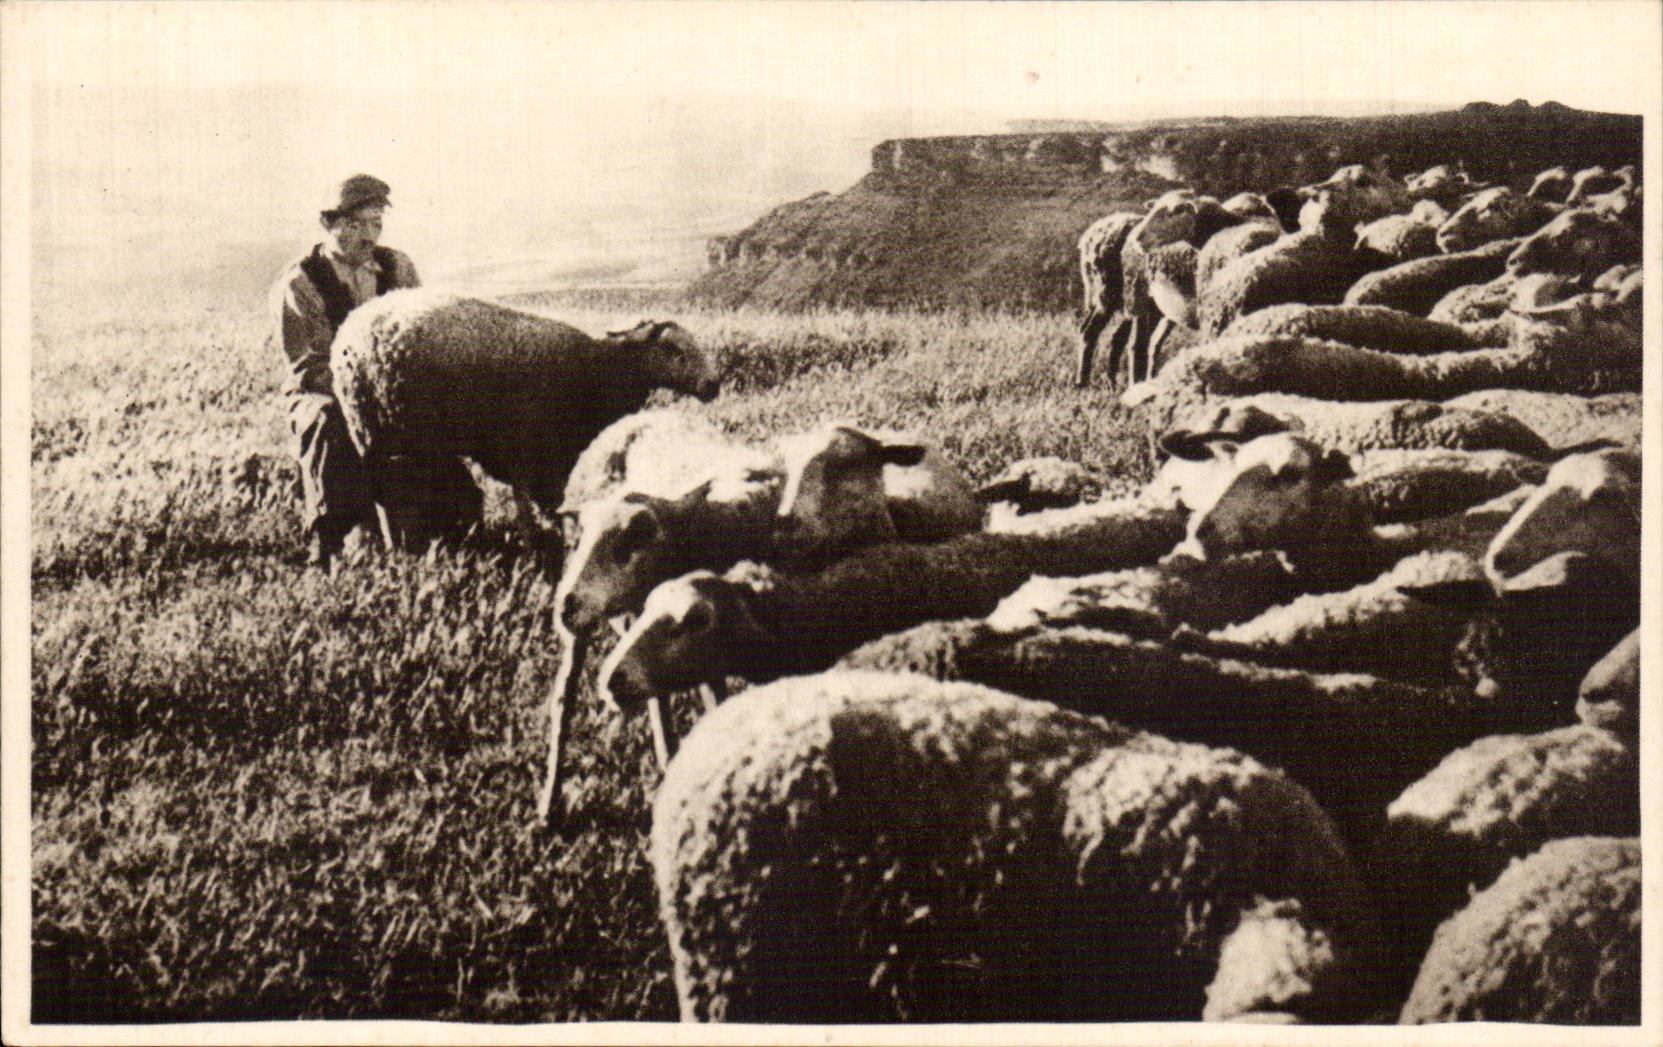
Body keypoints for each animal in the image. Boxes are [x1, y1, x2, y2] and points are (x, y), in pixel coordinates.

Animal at [332, 289, 720, 546]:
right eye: (671, 348)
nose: (713, 385)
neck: (597, 369)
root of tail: (351, 328)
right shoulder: (528, 444)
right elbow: (532, 500)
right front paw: (539, 541)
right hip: (383, 433)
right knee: (385, 495)